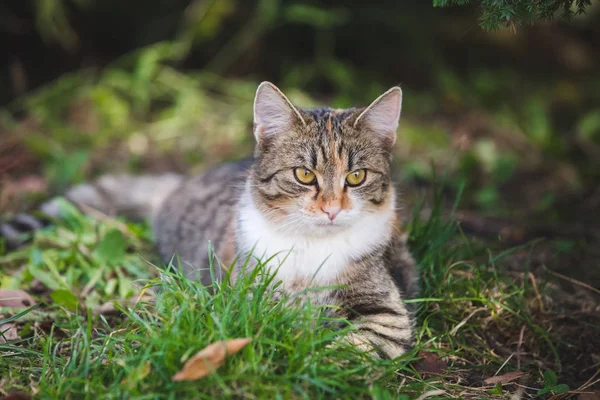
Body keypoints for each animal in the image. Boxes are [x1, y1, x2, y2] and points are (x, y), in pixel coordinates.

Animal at [1, 83, 418, 358]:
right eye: (303, 175)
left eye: (356, 177)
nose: (332, 209)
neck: (311, 247)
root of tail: (179, 183)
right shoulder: (246, 297)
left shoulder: (385, 310)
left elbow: (351, 348)